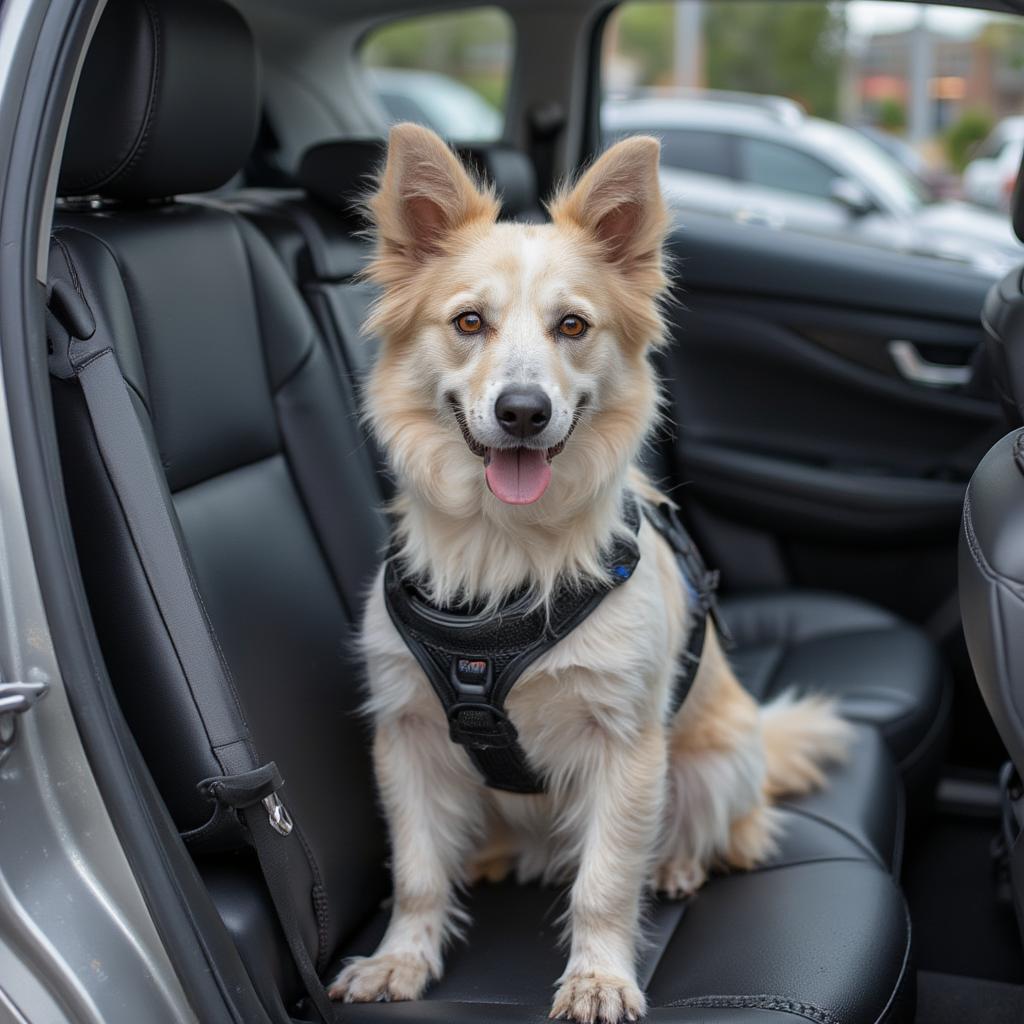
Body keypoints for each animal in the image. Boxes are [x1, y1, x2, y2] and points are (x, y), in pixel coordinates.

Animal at [327, 125, 847, 1024]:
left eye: (572, 325)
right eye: (469, 321)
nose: (523, 412)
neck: (507, 551)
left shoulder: (627, 745)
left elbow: (604, 882)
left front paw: (600, 976)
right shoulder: (408, 735)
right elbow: (418, 870)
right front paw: (402, 959)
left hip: (717, 763)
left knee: (725, 834)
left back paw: (676, 864)